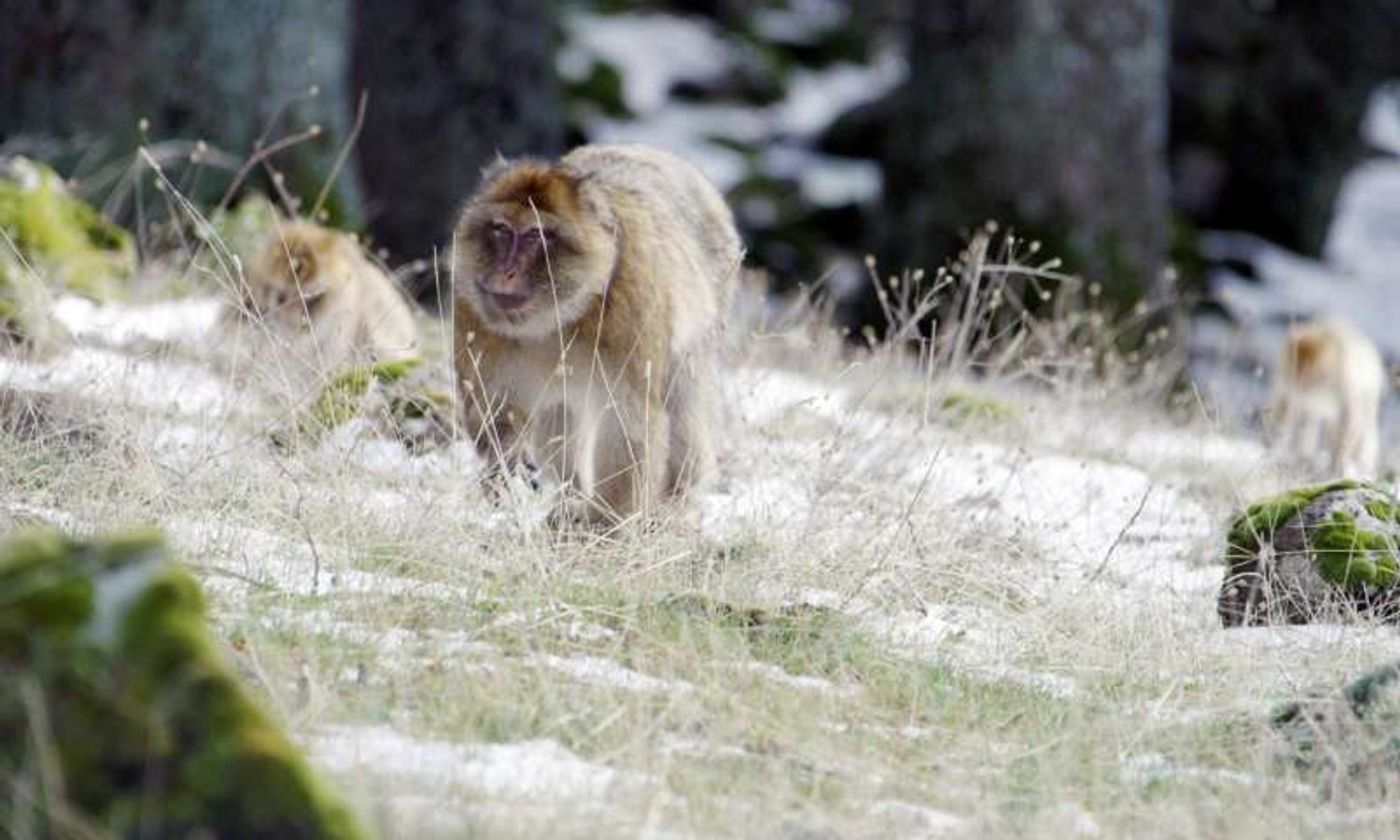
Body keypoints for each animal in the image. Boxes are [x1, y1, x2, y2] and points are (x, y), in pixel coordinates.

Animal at [456, 144, 744, 526]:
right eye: (502, 230)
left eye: (535, 236)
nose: (506, 272)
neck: (556, 318)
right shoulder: (473, 312)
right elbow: (493, 410)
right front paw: (509, 471)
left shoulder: (630, 315)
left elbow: (629, 422)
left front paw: (606, 523)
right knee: (560, 409)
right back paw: (571, 498)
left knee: (683, 397)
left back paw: (675, 501)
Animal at [1276, 316, 1383, 476]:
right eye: (1297, 367)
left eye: (1309, 369)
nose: (1301, 380)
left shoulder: (1347, 384)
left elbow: (1349, 424)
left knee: (1362, 426)